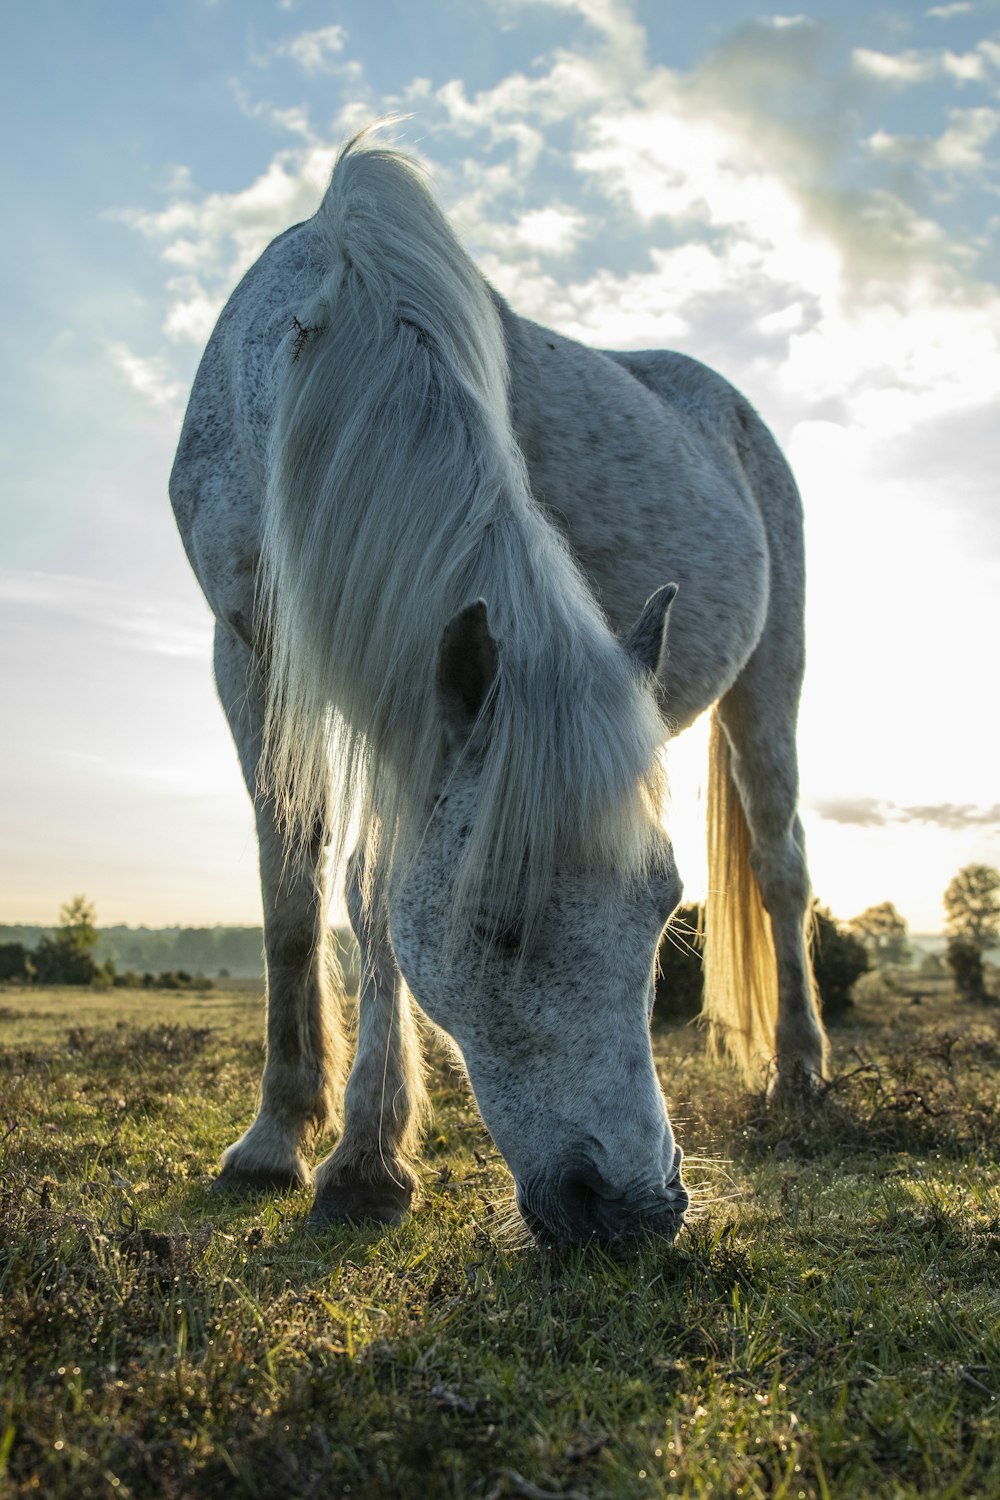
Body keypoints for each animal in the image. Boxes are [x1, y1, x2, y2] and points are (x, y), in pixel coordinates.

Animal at [172, 132, 827, 1242]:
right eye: (493, 922)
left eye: (664, 912)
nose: (637, 1208)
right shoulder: (248, 651)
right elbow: (295, 888)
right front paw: (277, 1137)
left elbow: (373, 891)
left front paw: (364, 1157)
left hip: (770, 679)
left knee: (782, 867)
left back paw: (802, 1075)